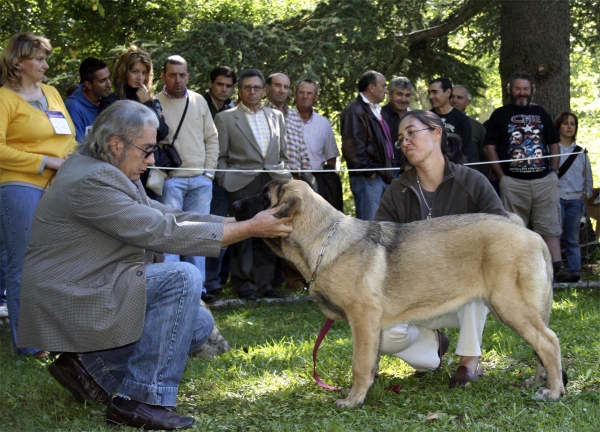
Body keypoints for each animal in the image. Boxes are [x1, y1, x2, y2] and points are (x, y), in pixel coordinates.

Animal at [232, 179, 564, 408]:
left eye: (264, 195)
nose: (234, 207)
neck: (323, 238)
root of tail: (532, 235)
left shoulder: (362, 317)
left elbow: (359, 363)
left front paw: (352, 400)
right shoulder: (371, 327)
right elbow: (370, 360)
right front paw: (369, 387)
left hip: (511, 306)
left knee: (549, 342)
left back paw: (554, 390)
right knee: (541, 345)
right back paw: (540, 380)